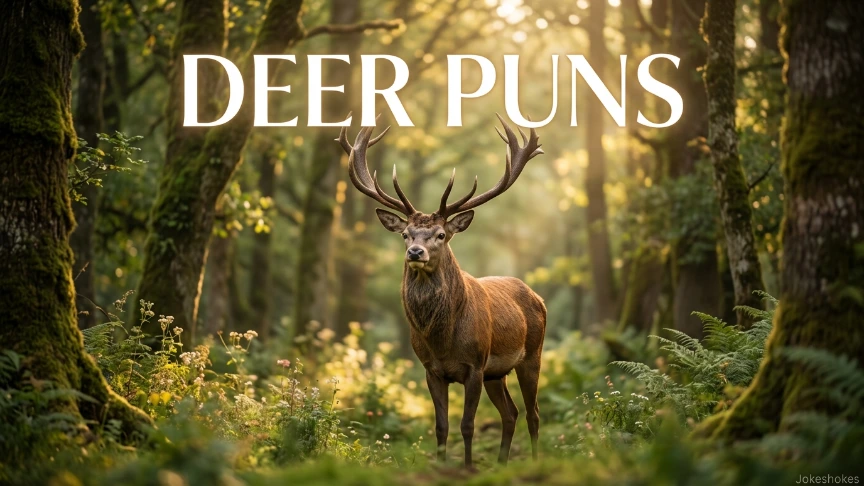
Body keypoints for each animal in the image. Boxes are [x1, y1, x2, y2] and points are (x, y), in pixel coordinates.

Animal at [336, 115, 547, 468]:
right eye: (405, 234)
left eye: (440, 235)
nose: (415, 252)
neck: (443, 339)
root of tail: (537, 296)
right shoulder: (431, 370)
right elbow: (441, 426)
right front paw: (441, 464)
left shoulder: (475, 366)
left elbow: (467, 425)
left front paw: (468, 467)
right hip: (497, 373)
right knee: (511, 412)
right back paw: (502, 462)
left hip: (532, 354)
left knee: (533, 413)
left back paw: (532, 460)